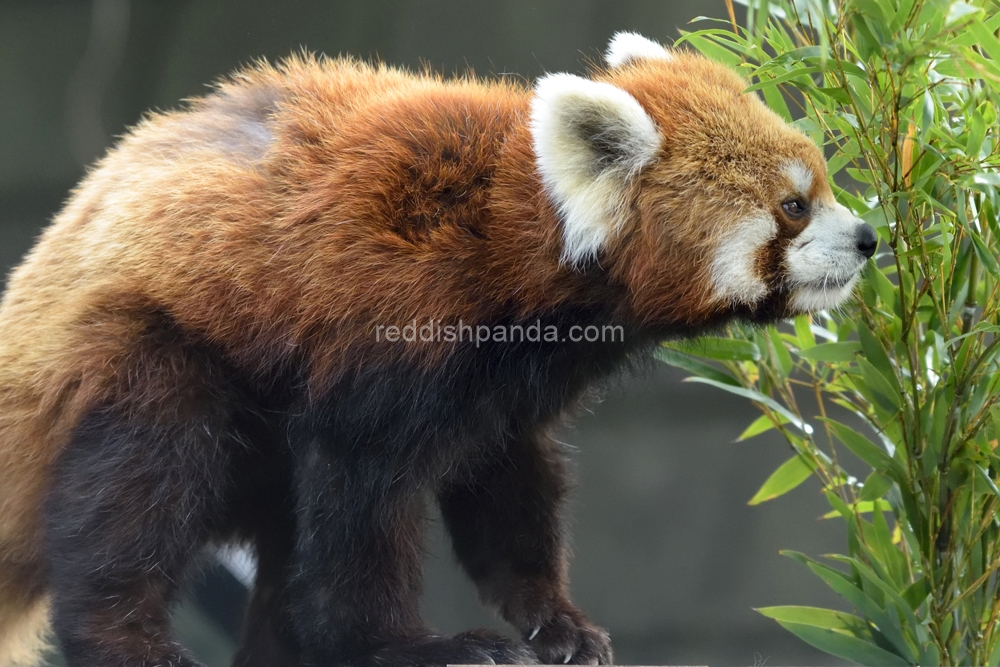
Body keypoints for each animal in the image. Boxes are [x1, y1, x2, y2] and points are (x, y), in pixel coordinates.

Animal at [0, 34, 876, 667]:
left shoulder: (506, 390)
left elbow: (511, 487)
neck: (521, 252)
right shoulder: (387, 315)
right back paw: (132, 640)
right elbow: (358, 498)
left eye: (822, 184)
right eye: (794, 206)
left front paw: (553, 619)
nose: (870, 238)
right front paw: (403, 643)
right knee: (143, 486)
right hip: (147, 352)